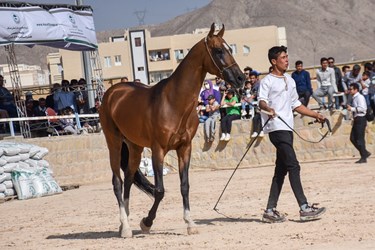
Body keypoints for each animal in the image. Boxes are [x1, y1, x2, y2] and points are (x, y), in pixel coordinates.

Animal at [100, 23, 245, 236]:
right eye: (219, 50)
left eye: (230, 49)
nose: (241, 78)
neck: (174, 102)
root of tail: (112, 92)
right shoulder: (158, 150)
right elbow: (159, 190)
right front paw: (147, 222)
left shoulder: (184, 148)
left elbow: (184, 185)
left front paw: (190, 223)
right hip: (114, 143)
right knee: (117, 182)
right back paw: (125, 228)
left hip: (135, 147)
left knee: (128, 179)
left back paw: (122, 223)